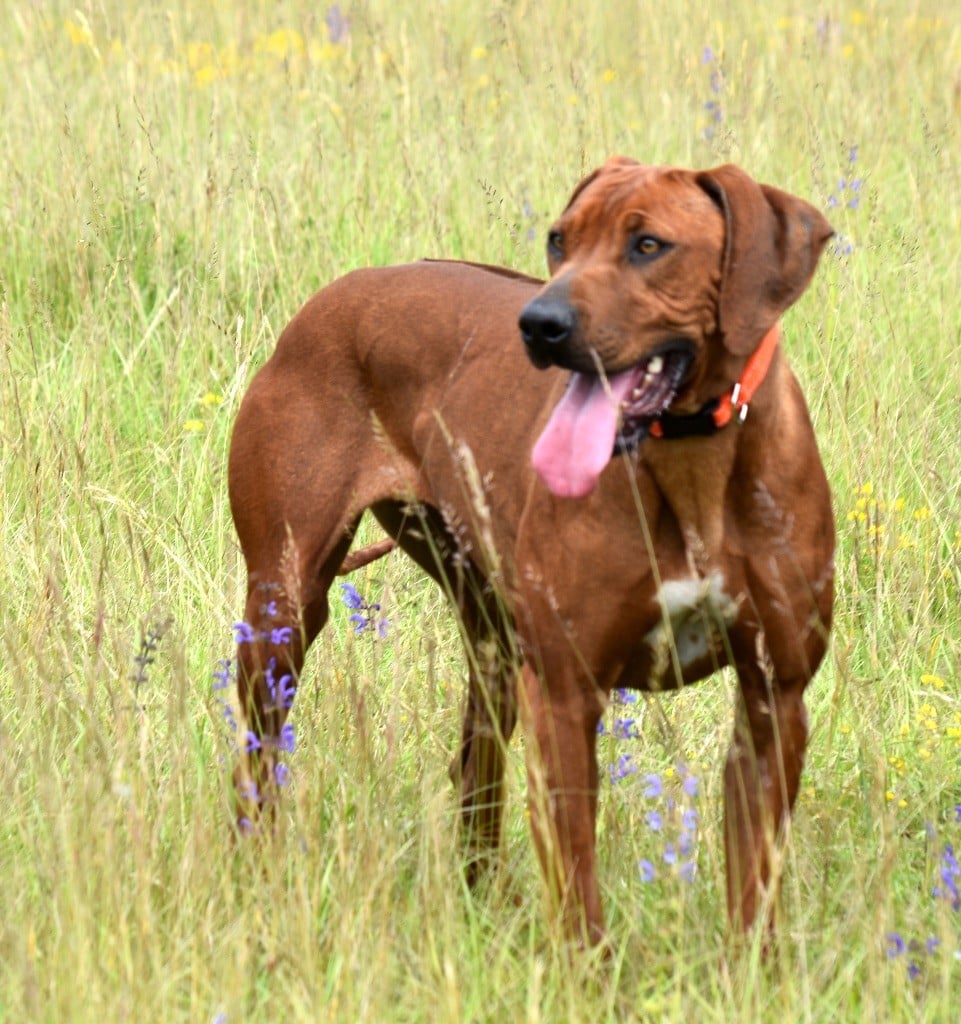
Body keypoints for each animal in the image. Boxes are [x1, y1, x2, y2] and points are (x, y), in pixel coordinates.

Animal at [230, 155, 831, 946]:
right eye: (558, 239)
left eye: (648, 245)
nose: (540, 325)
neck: (693, 459)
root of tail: (333, 295)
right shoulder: (568, 696)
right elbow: (579, 896)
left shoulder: (774, 698)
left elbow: (753, 897)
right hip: (283, 613)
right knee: (257, 764)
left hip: (490, 643)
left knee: (473, 775)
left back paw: (485, 900)